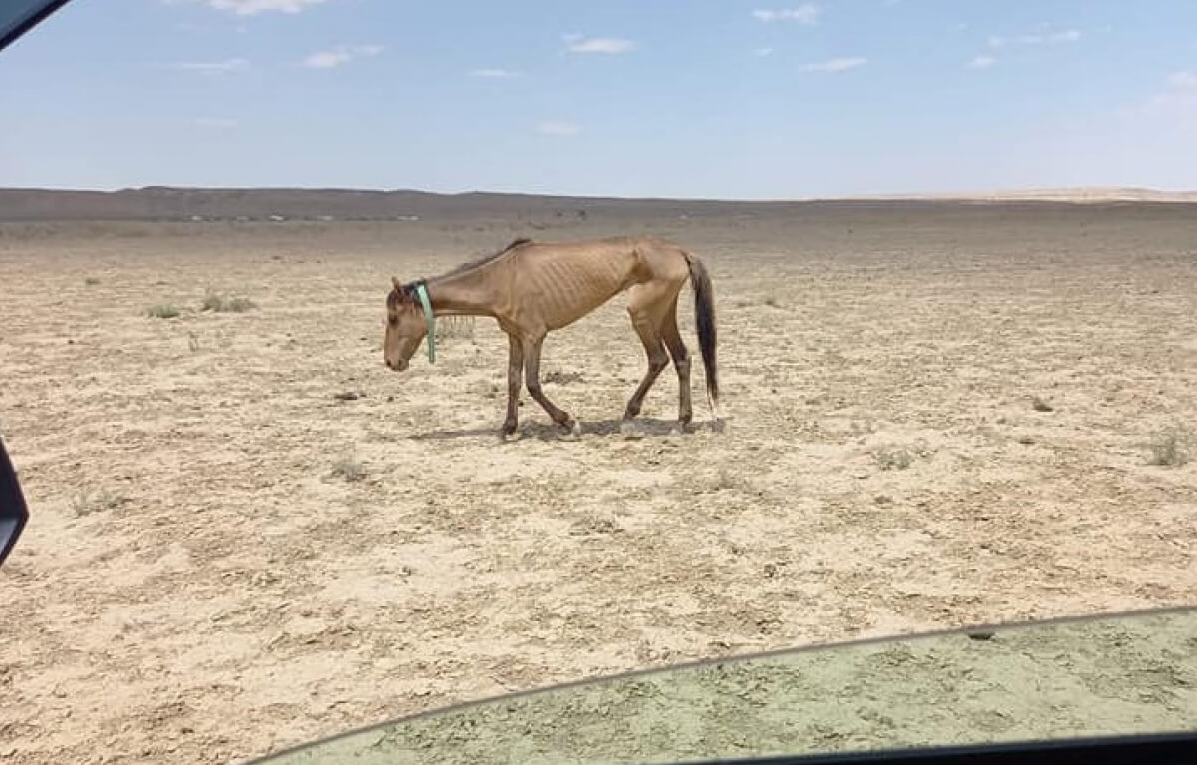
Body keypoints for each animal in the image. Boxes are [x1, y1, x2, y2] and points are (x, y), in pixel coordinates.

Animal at [383, 233, 718, 435]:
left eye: (393, 318)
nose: (390, 362)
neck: (501, 278)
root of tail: (679, 251)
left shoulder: (534, 336)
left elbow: (532, 383)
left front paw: (568, 421)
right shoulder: (515, 337)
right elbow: (513, 380)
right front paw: (508, 427)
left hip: (642, 313)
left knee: (659, 358)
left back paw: (632, 413)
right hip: (663, 313)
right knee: (682, 358)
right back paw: (682, 420)